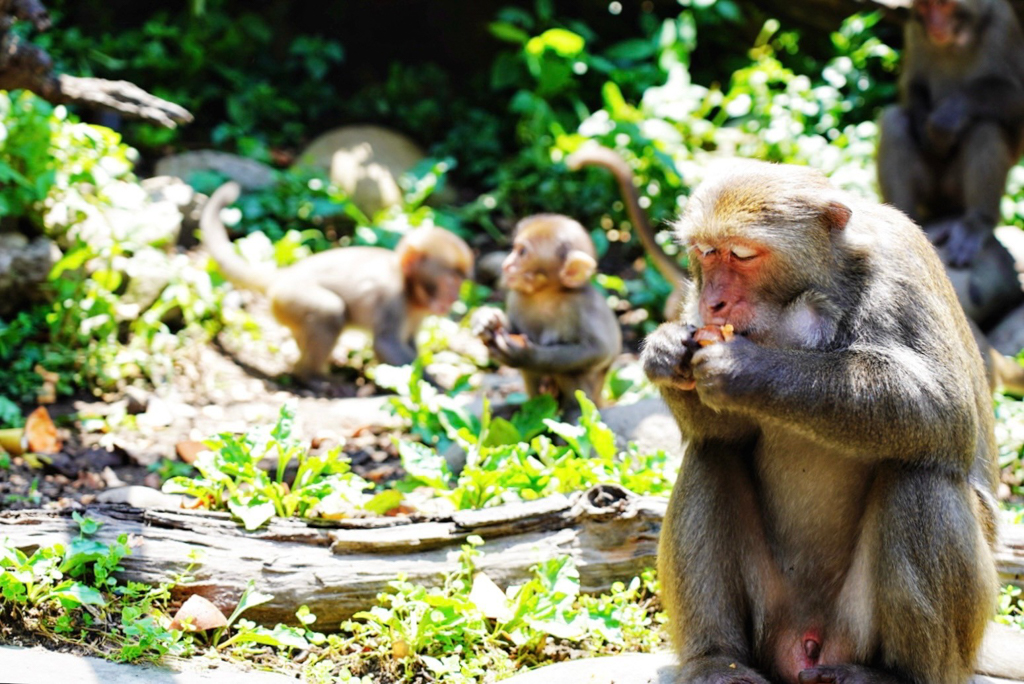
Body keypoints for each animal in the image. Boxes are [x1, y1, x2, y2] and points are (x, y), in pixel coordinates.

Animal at [200, 181, 475, 382]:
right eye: (450, 281)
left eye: (460, 283)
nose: (453, 298)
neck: (410, 291)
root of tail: (285, 275)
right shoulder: (392, 297)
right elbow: (386, 344)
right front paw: (438, 386)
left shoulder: (418, 313)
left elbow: (408, 343)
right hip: (291, 298)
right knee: (329, 311)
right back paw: (309, 377)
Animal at [468, 214, 618, 413]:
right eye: (514, 249)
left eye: (523, 252)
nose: (506, 265)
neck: (546, 294)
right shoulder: (516, 297)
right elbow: (512, 328)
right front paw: (487, 319)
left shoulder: (585, 306)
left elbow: (599, 350)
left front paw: (526, 356)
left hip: (591, 397)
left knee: (568, 372)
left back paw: (572, 411)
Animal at [638, 158, 1024, 684]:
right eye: (705, 254)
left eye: (741, 254)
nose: (714, 303)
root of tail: (808, 642)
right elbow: (723, 433)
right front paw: (664, 347)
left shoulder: (898, 274)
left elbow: (944, 410)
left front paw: (746, 368)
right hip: (773, 614)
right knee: (711, 456)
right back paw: (717, 661)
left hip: (902, 628)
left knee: (918, 477)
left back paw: (899, 675)